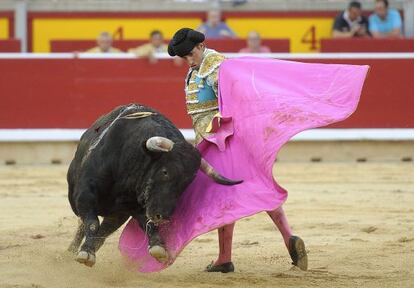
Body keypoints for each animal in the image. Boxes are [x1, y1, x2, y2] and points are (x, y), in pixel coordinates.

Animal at [67, 104, 243, 268]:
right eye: (165, 172)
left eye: (187, 183)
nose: (162, 216)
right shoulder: (85, 194)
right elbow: (92, 223)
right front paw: (85, 254)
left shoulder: (131, 207)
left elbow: (146, 224)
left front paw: (159, 248)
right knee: (84, 224)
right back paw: (72, 252)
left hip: (116, 214)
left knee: (103, 231)